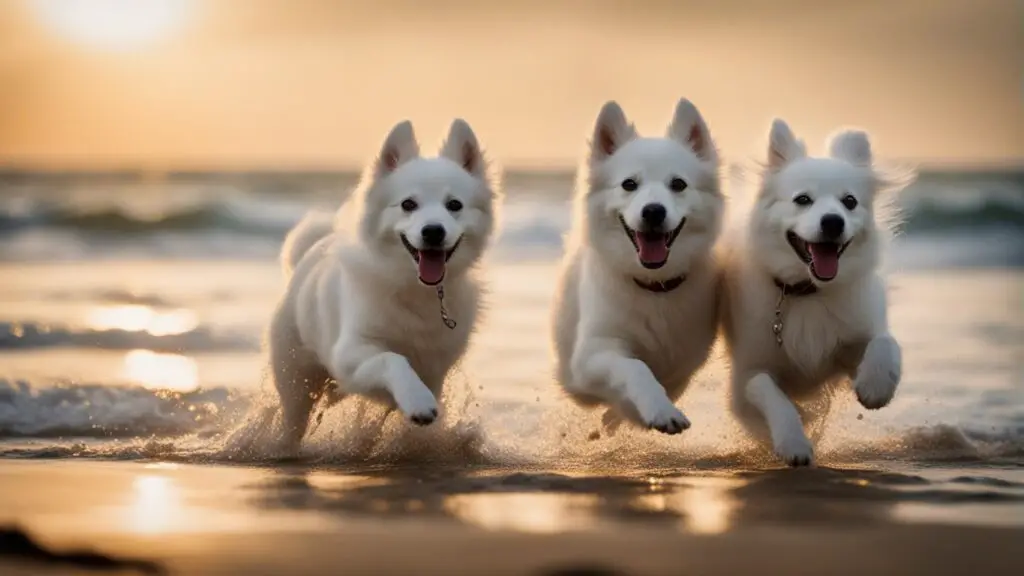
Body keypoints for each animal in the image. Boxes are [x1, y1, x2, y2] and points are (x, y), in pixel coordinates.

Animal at [266, 117, 497, 448]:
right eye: (408, 204)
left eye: (454, 205)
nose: (433, 231)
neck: (414, 286)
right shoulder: (349, 353)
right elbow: (393, 359)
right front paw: (417, 401)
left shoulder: (435, 367)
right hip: (297, 382)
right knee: (292, 419)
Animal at [552, 98, 729, 432]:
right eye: (629, 184)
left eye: (678, 184)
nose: (653, 212)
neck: (653, 285)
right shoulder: (591, 355)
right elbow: (636, 368)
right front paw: (660, 411)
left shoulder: (687, 359)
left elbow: (671, 380)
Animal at [720, 118, 905, 463]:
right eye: (802, 200)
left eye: (849, 202)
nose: (833, 222)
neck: (808, 291)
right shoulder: (746, 376)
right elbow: (771, 393)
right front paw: (793, 442)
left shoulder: (851, 341)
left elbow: (886, 342)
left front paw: (876, 387)